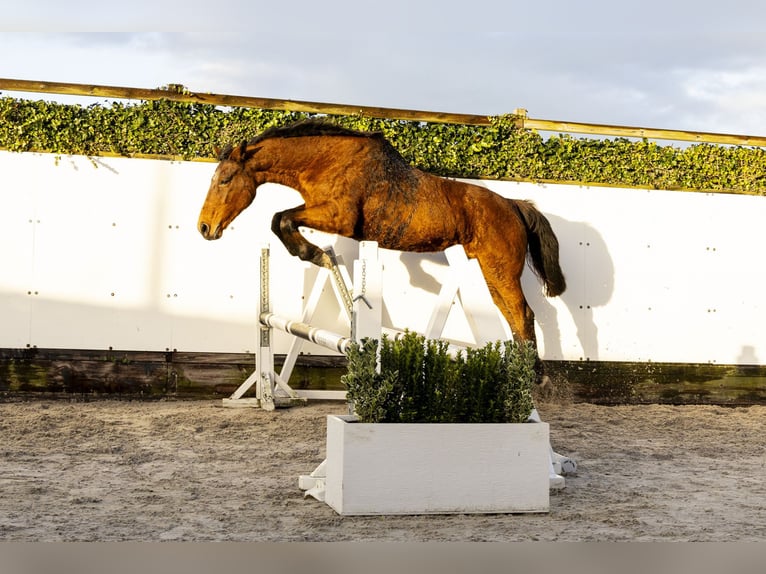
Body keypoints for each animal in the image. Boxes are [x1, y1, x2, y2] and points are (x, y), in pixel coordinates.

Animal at [198, 122, 568, 352]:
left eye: (226, 179)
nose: (204, 227)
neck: (325, 163)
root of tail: (513, 204)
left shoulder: (339, 217)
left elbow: (282, 218)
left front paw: (312, 253)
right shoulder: (320, 210)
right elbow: (280, 220)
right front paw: (318, 254)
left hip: (501, 270)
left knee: (523, 314)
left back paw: (534, 377)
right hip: (489, 272)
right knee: (511, 315)